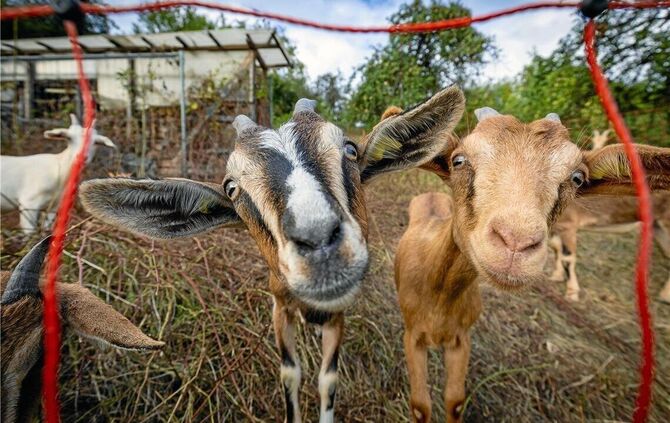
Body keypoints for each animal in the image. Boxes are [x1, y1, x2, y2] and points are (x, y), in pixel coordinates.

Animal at [78, 88, 466, 423]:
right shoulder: (280, 306)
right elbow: (290, 373)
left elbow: (328, 378)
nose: (318, 241)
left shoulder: (338, 311)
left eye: (350, 150)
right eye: (231, 187)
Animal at [393, 107, 670, 422]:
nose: (516, 242)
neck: (440, 293)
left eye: (577, 177)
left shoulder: (461, 339)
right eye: (458, 160)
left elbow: (455, 401)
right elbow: (420, 405)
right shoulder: (413, 337)